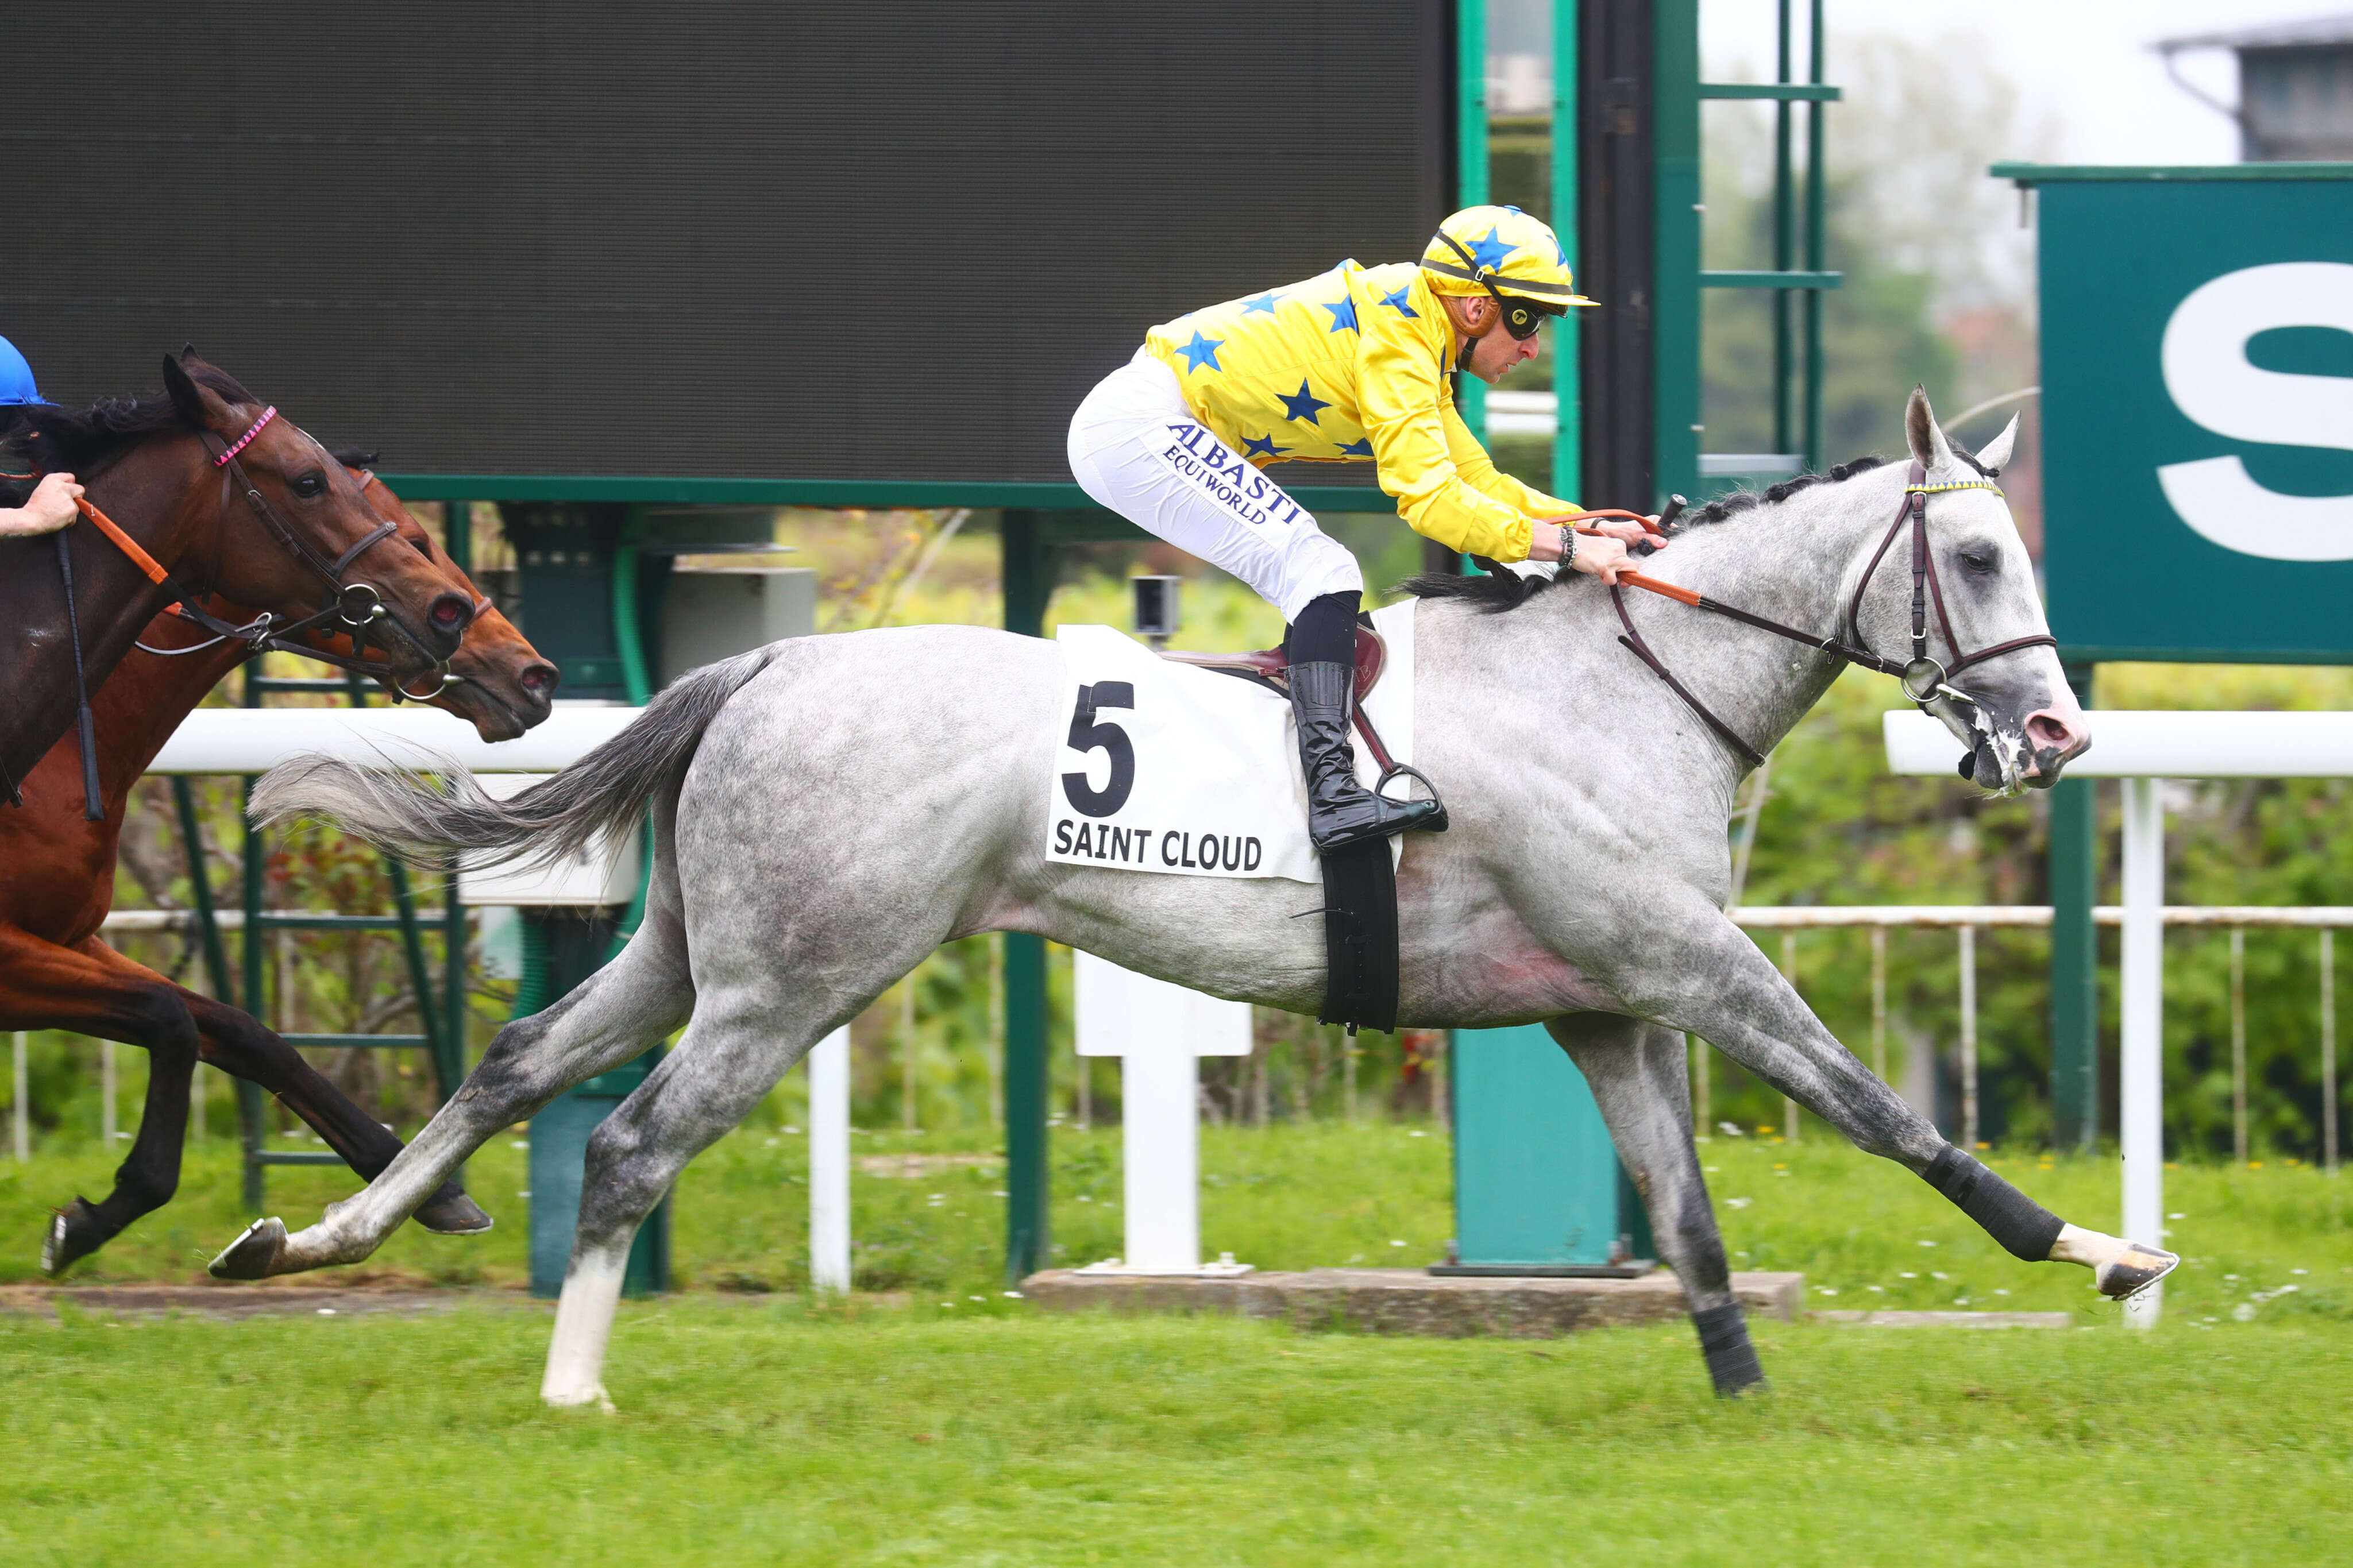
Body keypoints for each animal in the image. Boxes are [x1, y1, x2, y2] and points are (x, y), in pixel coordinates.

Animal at [2, 465, 557, 1279]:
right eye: (416, 541)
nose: (535, 674)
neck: (65, 739)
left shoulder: (68, 939)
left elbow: (242, 1032)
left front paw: (428, 1187)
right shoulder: (11, 957)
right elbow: (170, 1019)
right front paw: (97, 1214)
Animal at [216, 392, 2165, 1410]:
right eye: (1975, 552)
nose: (2060, 729)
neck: (1632, 680)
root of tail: (761, 662)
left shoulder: (1601, 1001)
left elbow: (1686, 1217)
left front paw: (1746, 1401)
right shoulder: (1684, 957)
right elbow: (1892, 1117)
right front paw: (2106, 1253)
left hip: (703, 951)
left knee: (518, 1058)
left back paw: (307, 1241)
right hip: (798, 978)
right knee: (625, 1142)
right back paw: (571, 1383)